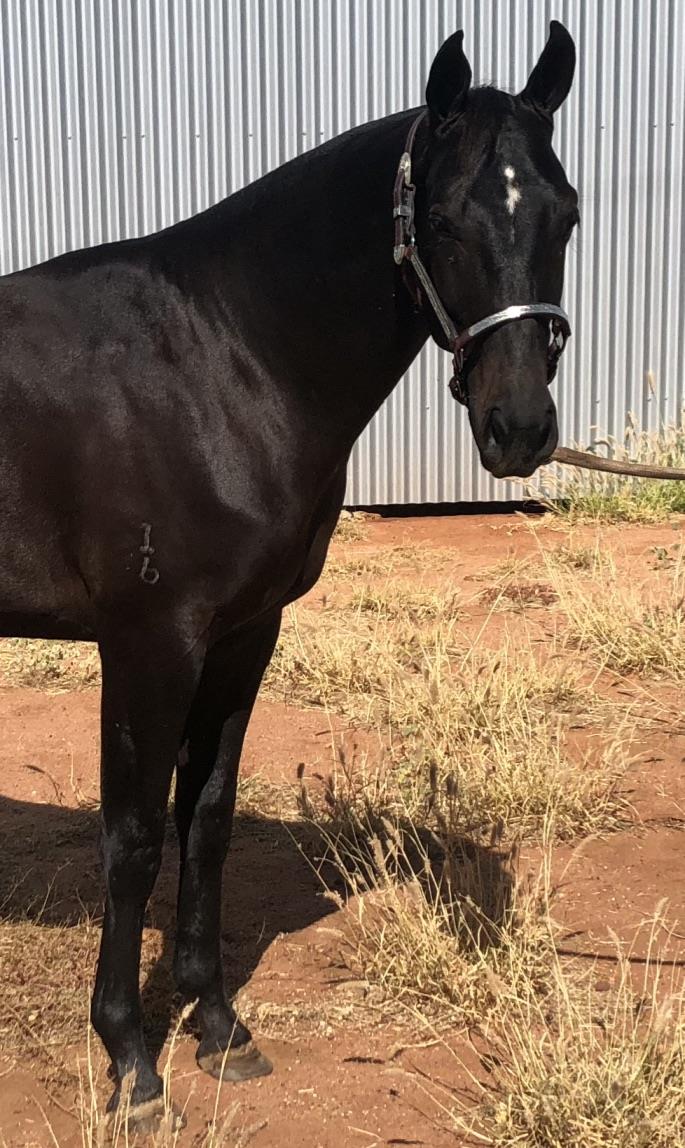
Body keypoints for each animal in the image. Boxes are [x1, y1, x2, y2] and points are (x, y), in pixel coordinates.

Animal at [0, 20, 578, 1127]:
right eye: (444, 221)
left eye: (564, 213)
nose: (519, 428)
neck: (218, 359)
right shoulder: (150, 641)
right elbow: (134, 839)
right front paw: (130, 1059)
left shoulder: (243, 632)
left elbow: (207, 819)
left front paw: (218, 1024)